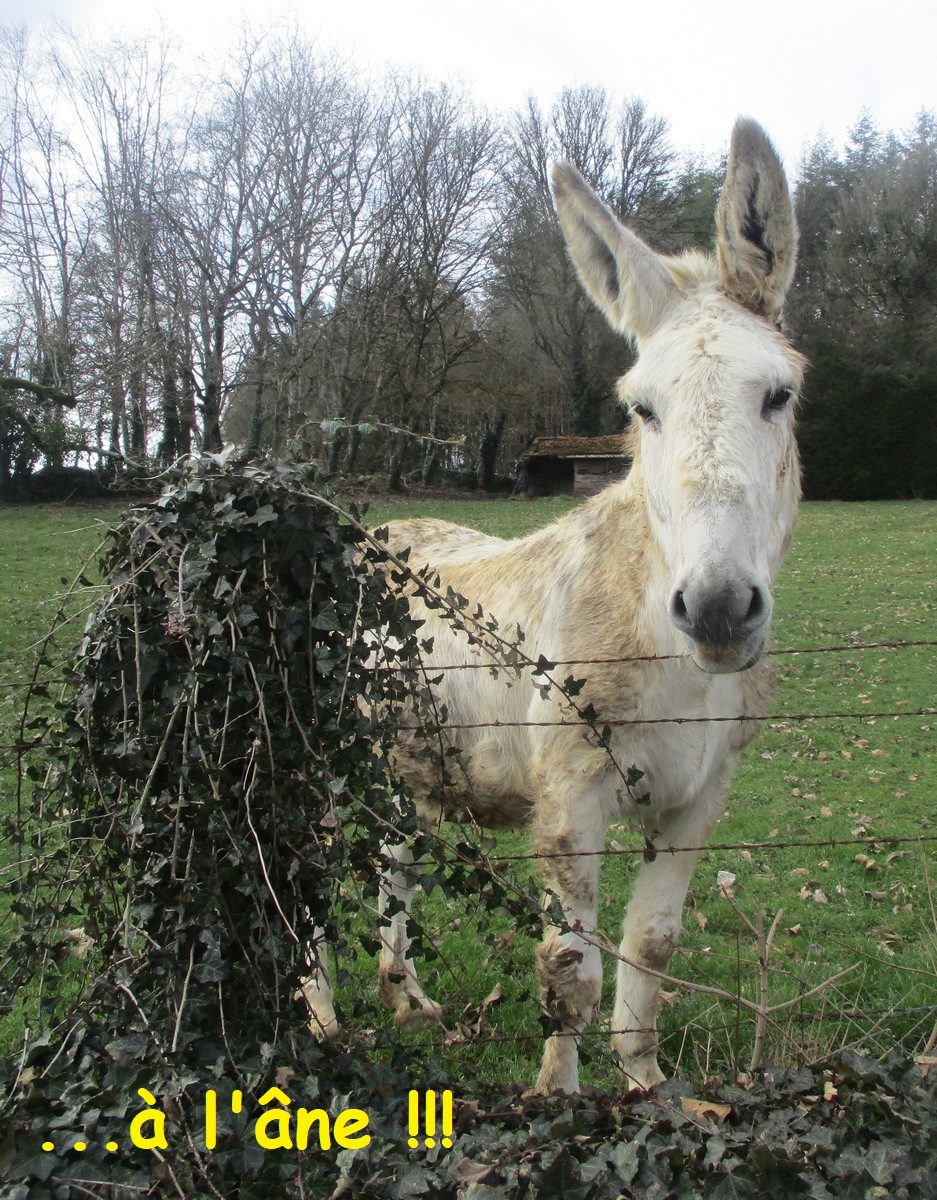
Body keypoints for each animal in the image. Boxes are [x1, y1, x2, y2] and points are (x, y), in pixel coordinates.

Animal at [304, 118, 803, 1095]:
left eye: (780, 393)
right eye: (640, 409)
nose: (716, 609)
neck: (673, 668)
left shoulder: (699, 801)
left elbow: (651, 946)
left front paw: (648, 1085)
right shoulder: (572, 804)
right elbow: (568, 969)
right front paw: (559, 1100)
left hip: (403, 763)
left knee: (393, 861)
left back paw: (405, 1001)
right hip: (322, 760)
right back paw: (323, 1020)